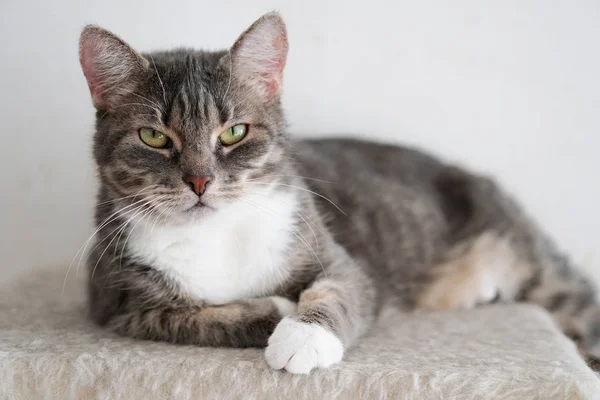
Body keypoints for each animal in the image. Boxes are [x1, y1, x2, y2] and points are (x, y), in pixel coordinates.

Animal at [79, 13, 600, 376]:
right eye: (154, 137)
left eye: (234, 133)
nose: (200, 180)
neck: (215, 236)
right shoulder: (120, 305)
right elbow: (193, 317)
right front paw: (276, 312)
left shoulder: (336, 254)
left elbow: (339, 289)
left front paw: (303, 337)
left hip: (532, 265)